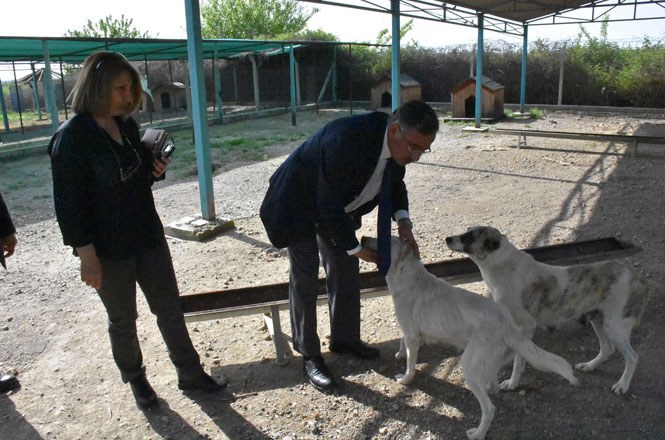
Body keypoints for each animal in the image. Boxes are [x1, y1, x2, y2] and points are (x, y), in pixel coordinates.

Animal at [360, 237, 572, 440]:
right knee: (493, 386)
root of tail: (505, 322)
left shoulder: (412, 335)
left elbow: (410, 364)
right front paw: (400, 354)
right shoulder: (410, 332)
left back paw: (478, 434)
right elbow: (402, 341)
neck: (408, 276)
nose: (362, 237)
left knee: (489, 408)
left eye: (386, 240)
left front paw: (405, 378)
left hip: (468, 365)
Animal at [446, 225, 648, 394]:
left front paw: (512, 383)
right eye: (466, 231)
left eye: (469, 237)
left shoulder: (526, 326)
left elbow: (518, 360)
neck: (502, 267)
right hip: (598, 320)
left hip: (614, 327)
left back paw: (622, 385)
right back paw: (590, 366)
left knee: (633, 357)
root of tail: (636, 276)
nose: (447, 238)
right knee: (607, 349)